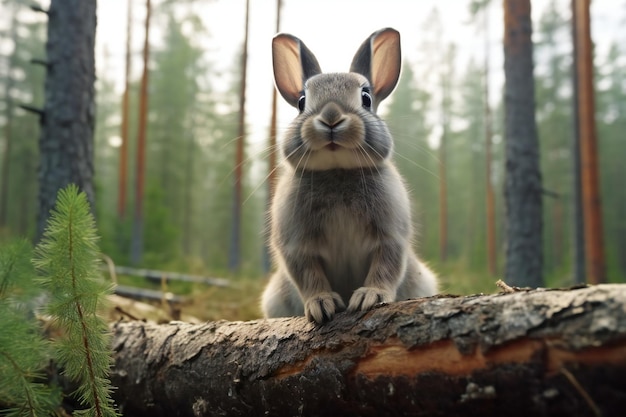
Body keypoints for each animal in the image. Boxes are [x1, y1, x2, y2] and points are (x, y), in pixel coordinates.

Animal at [260, 27, 436, 324]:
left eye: (366, 98)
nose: (331, 116)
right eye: (301, 102)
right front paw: (321, 304)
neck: (338, 171)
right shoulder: (296, 245)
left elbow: (386, 266)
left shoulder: (390, 237)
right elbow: (308, 275)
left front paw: (369, 296)